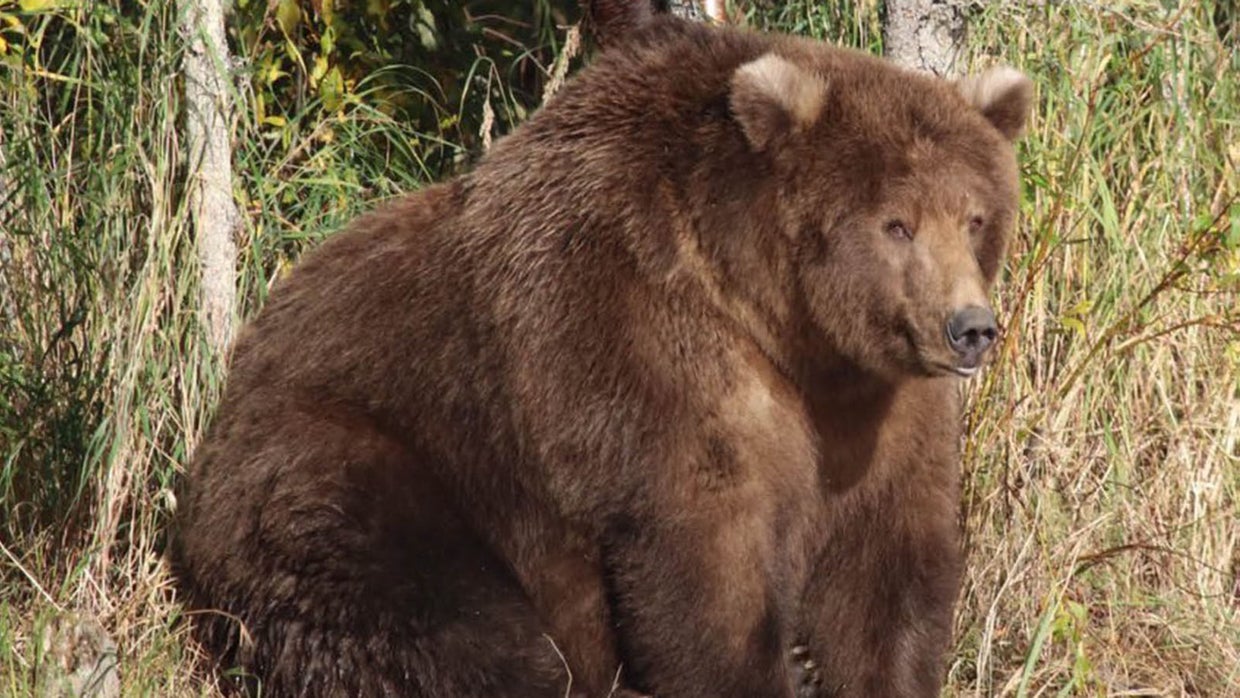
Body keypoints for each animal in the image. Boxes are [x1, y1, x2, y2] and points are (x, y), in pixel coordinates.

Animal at [171, 8, 1031, 698]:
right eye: (897, 223)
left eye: (975, 217)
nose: (969, 328)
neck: (783, 325)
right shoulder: (643, 349)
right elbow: (705, 567)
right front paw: (765, 668)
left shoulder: (881, 414)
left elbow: (884, 579)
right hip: (356, 463)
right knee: (448, 626)